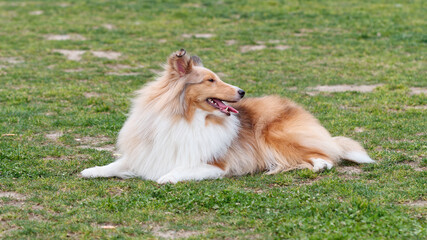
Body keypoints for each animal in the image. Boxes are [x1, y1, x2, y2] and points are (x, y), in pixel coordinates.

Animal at [81, 48, 374, 184]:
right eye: (210, 80)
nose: (242, 91)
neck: (186, 118)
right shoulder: (147, 153)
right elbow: (117, 164)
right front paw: (92, 170)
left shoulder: (214, 165)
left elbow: (181, 169)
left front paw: (167, 177)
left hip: (276, 135)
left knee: (326, 156)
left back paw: (312, 165)